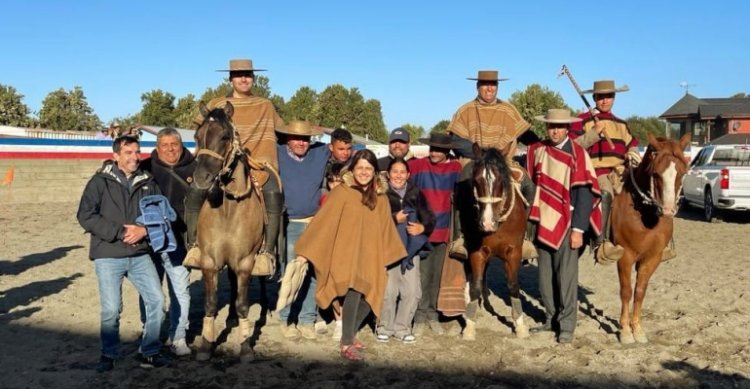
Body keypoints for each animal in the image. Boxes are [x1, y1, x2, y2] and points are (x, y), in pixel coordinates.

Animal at [192, 101, 266, 360]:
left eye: (224, 136)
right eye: (197, 137)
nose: (201, 178)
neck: (228, 211)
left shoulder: (245, 262)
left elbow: (243, 305)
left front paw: (245, 347)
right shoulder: (209, 262)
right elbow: (210, 304)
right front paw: (206, 344)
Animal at [462, 145, 532, 340]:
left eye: (501, 180)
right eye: (476, 180)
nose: (487, 223)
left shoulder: (514, 253)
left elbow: (513, 286)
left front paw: (520, 326)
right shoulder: (477, 252)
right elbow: (476, 285)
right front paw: (469, 326)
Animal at [612, 133, 692, 342]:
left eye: (682, 172)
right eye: (656, 173)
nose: (668, 210)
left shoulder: (652, 258)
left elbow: (640, 291)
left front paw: (637, 329)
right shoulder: (625, 257)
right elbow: (626, 291)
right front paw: (625, 331)